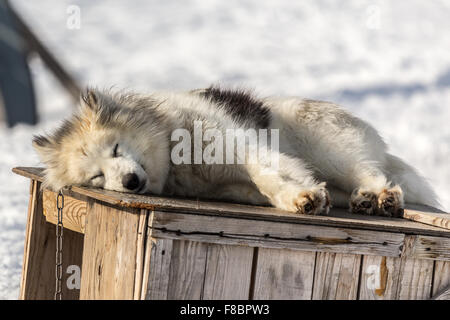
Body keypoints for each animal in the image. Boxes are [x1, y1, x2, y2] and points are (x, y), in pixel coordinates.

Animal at [32, 87, 440, 216]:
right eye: (96, 177)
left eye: (116, 149)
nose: (130, 183)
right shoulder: (233, 185)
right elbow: (269, 188)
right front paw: (303, 197)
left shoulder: (244, 148)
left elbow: (269, 176)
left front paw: (299, 197)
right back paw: (363, 201)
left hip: (327, 147)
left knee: (372, 171)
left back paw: (383, 197)